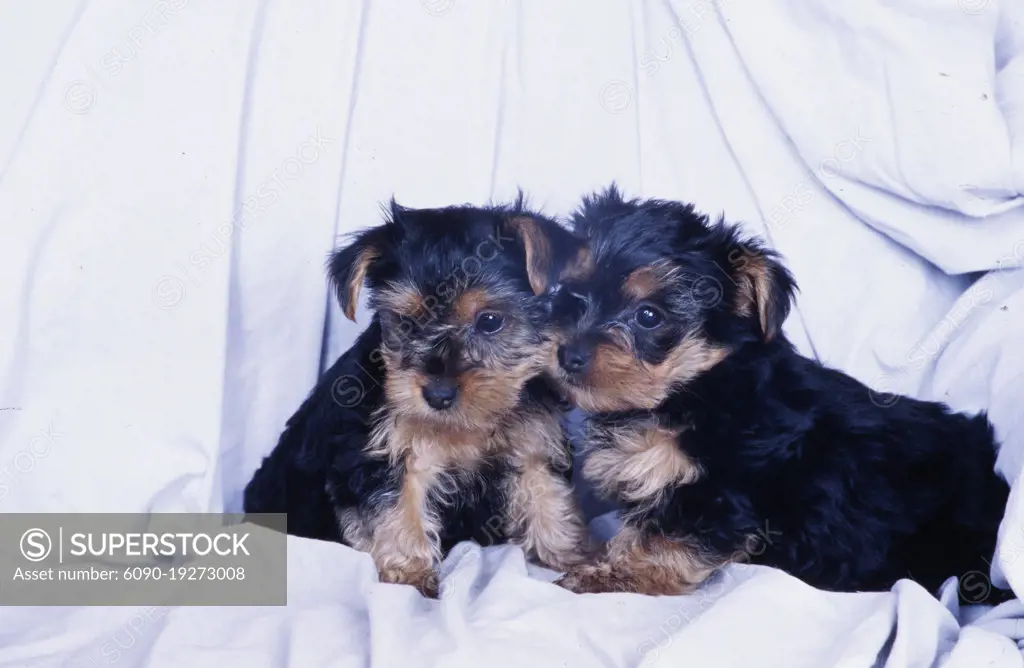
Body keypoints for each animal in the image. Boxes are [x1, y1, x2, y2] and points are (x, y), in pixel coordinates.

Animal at [241, 196, 593, 594]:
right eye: (407, 323)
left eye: (490, 321)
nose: (437, 393)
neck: (466, 424)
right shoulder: (381, 453)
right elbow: (399, 507)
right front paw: (409, 575)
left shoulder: (533, 440)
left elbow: (547, 494)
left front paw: (573, 557)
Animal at [548, 186, 1011, 598]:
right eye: (573, 297)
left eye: (648, 316)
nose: (569, 355)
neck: (694, 385)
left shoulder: (715, 491)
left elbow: (664, 540)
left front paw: (613, 576)